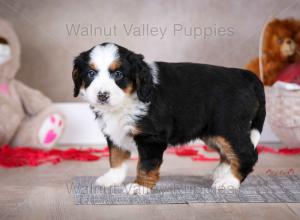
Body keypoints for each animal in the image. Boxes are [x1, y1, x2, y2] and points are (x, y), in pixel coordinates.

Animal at [72, 42, 264, 195]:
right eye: (91, 73)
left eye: (118, 74)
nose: (102, 95)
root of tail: (246, 76)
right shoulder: (114, 132)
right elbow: (116, 157)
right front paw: (112, 179)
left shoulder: (151, 137)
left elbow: (146, 164)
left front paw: (140, 186)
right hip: (213, 132)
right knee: (228, 153)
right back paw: (220, 173)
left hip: (228, 128)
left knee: (246, 153)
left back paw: (229, 181)